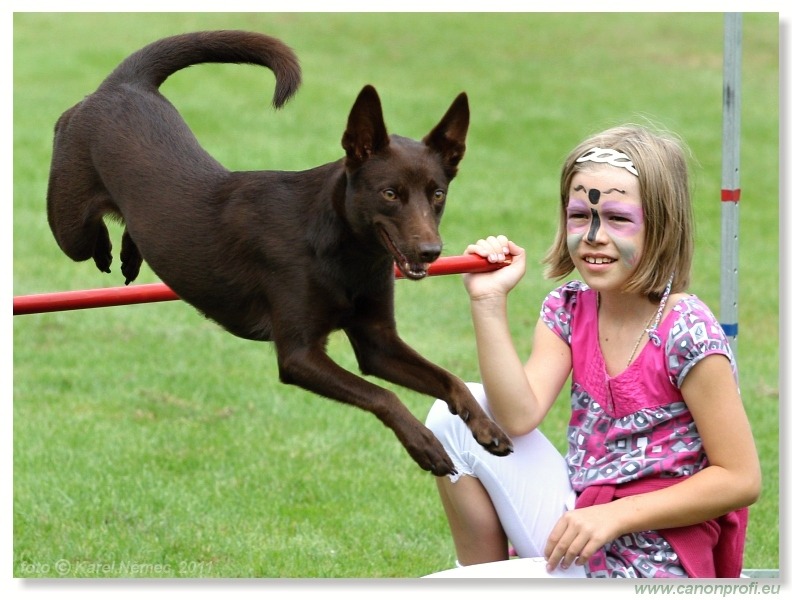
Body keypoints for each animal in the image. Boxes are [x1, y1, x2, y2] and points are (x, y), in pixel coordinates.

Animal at [46, 31, 512, 474]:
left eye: (437, 194)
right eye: (390, 193)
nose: (431, 251)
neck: (343, 252)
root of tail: (125, 83)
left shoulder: (378, 343)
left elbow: (450, 379)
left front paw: (487, 428)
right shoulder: (299, 355)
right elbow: (383, 396)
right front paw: (426, 445)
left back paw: (131, 252)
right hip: (69, 224)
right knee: (87, 236)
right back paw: (109, 248)